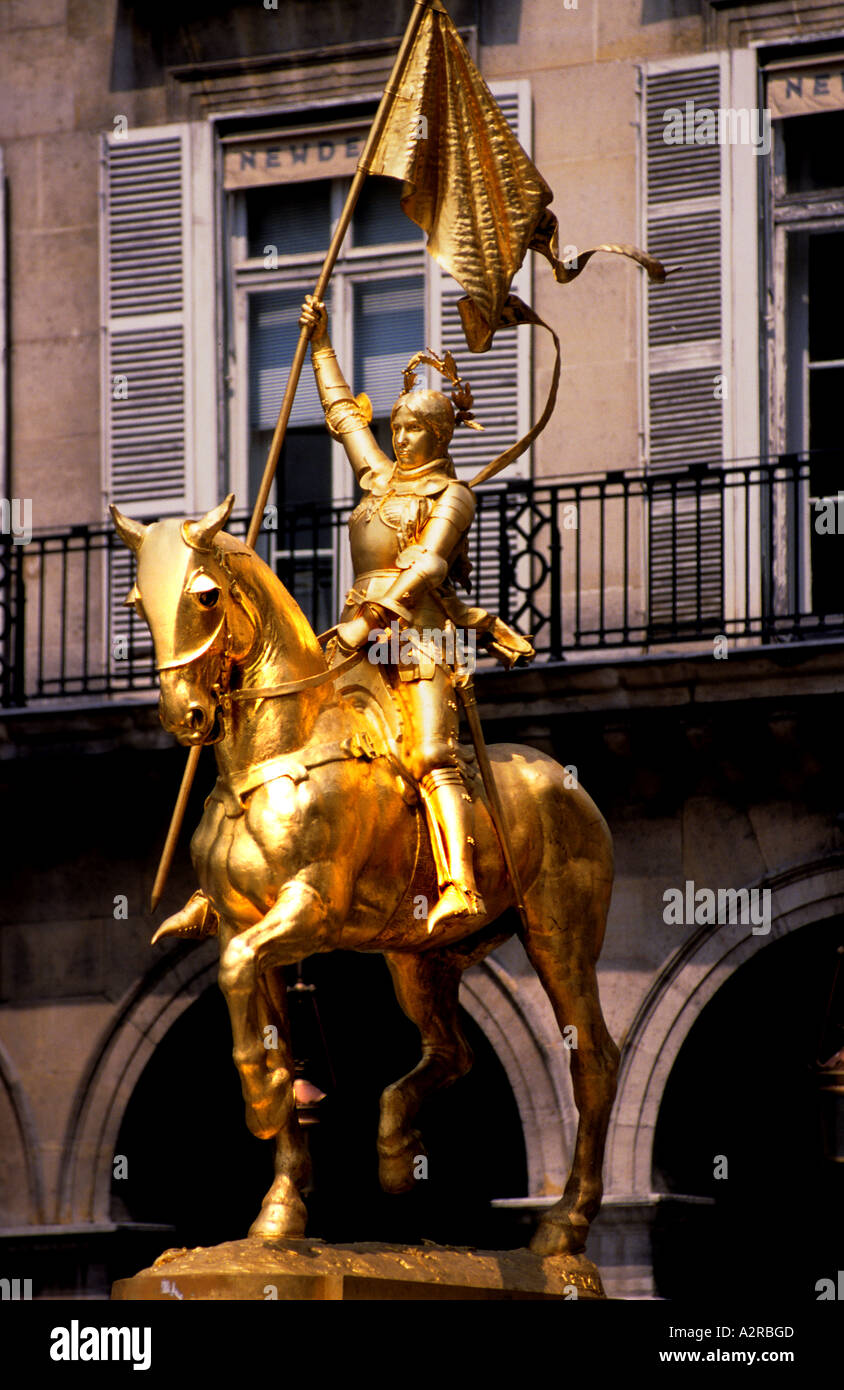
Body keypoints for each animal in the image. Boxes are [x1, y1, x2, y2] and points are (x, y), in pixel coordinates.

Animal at [112, 494, 617, 1256]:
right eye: (139, 601)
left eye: (204, 595)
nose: (185, 715)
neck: (274, 753)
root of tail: (567, 778)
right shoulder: (242, 925)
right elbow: (263, 1019)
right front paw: (280, 1209)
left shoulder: (308, 909)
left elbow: (236, 974)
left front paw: (262, 1099)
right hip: (417, 958)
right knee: (453, 1052)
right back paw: (396, 1151)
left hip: (560, 942)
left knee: (593, 1062)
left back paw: (565, 1224)